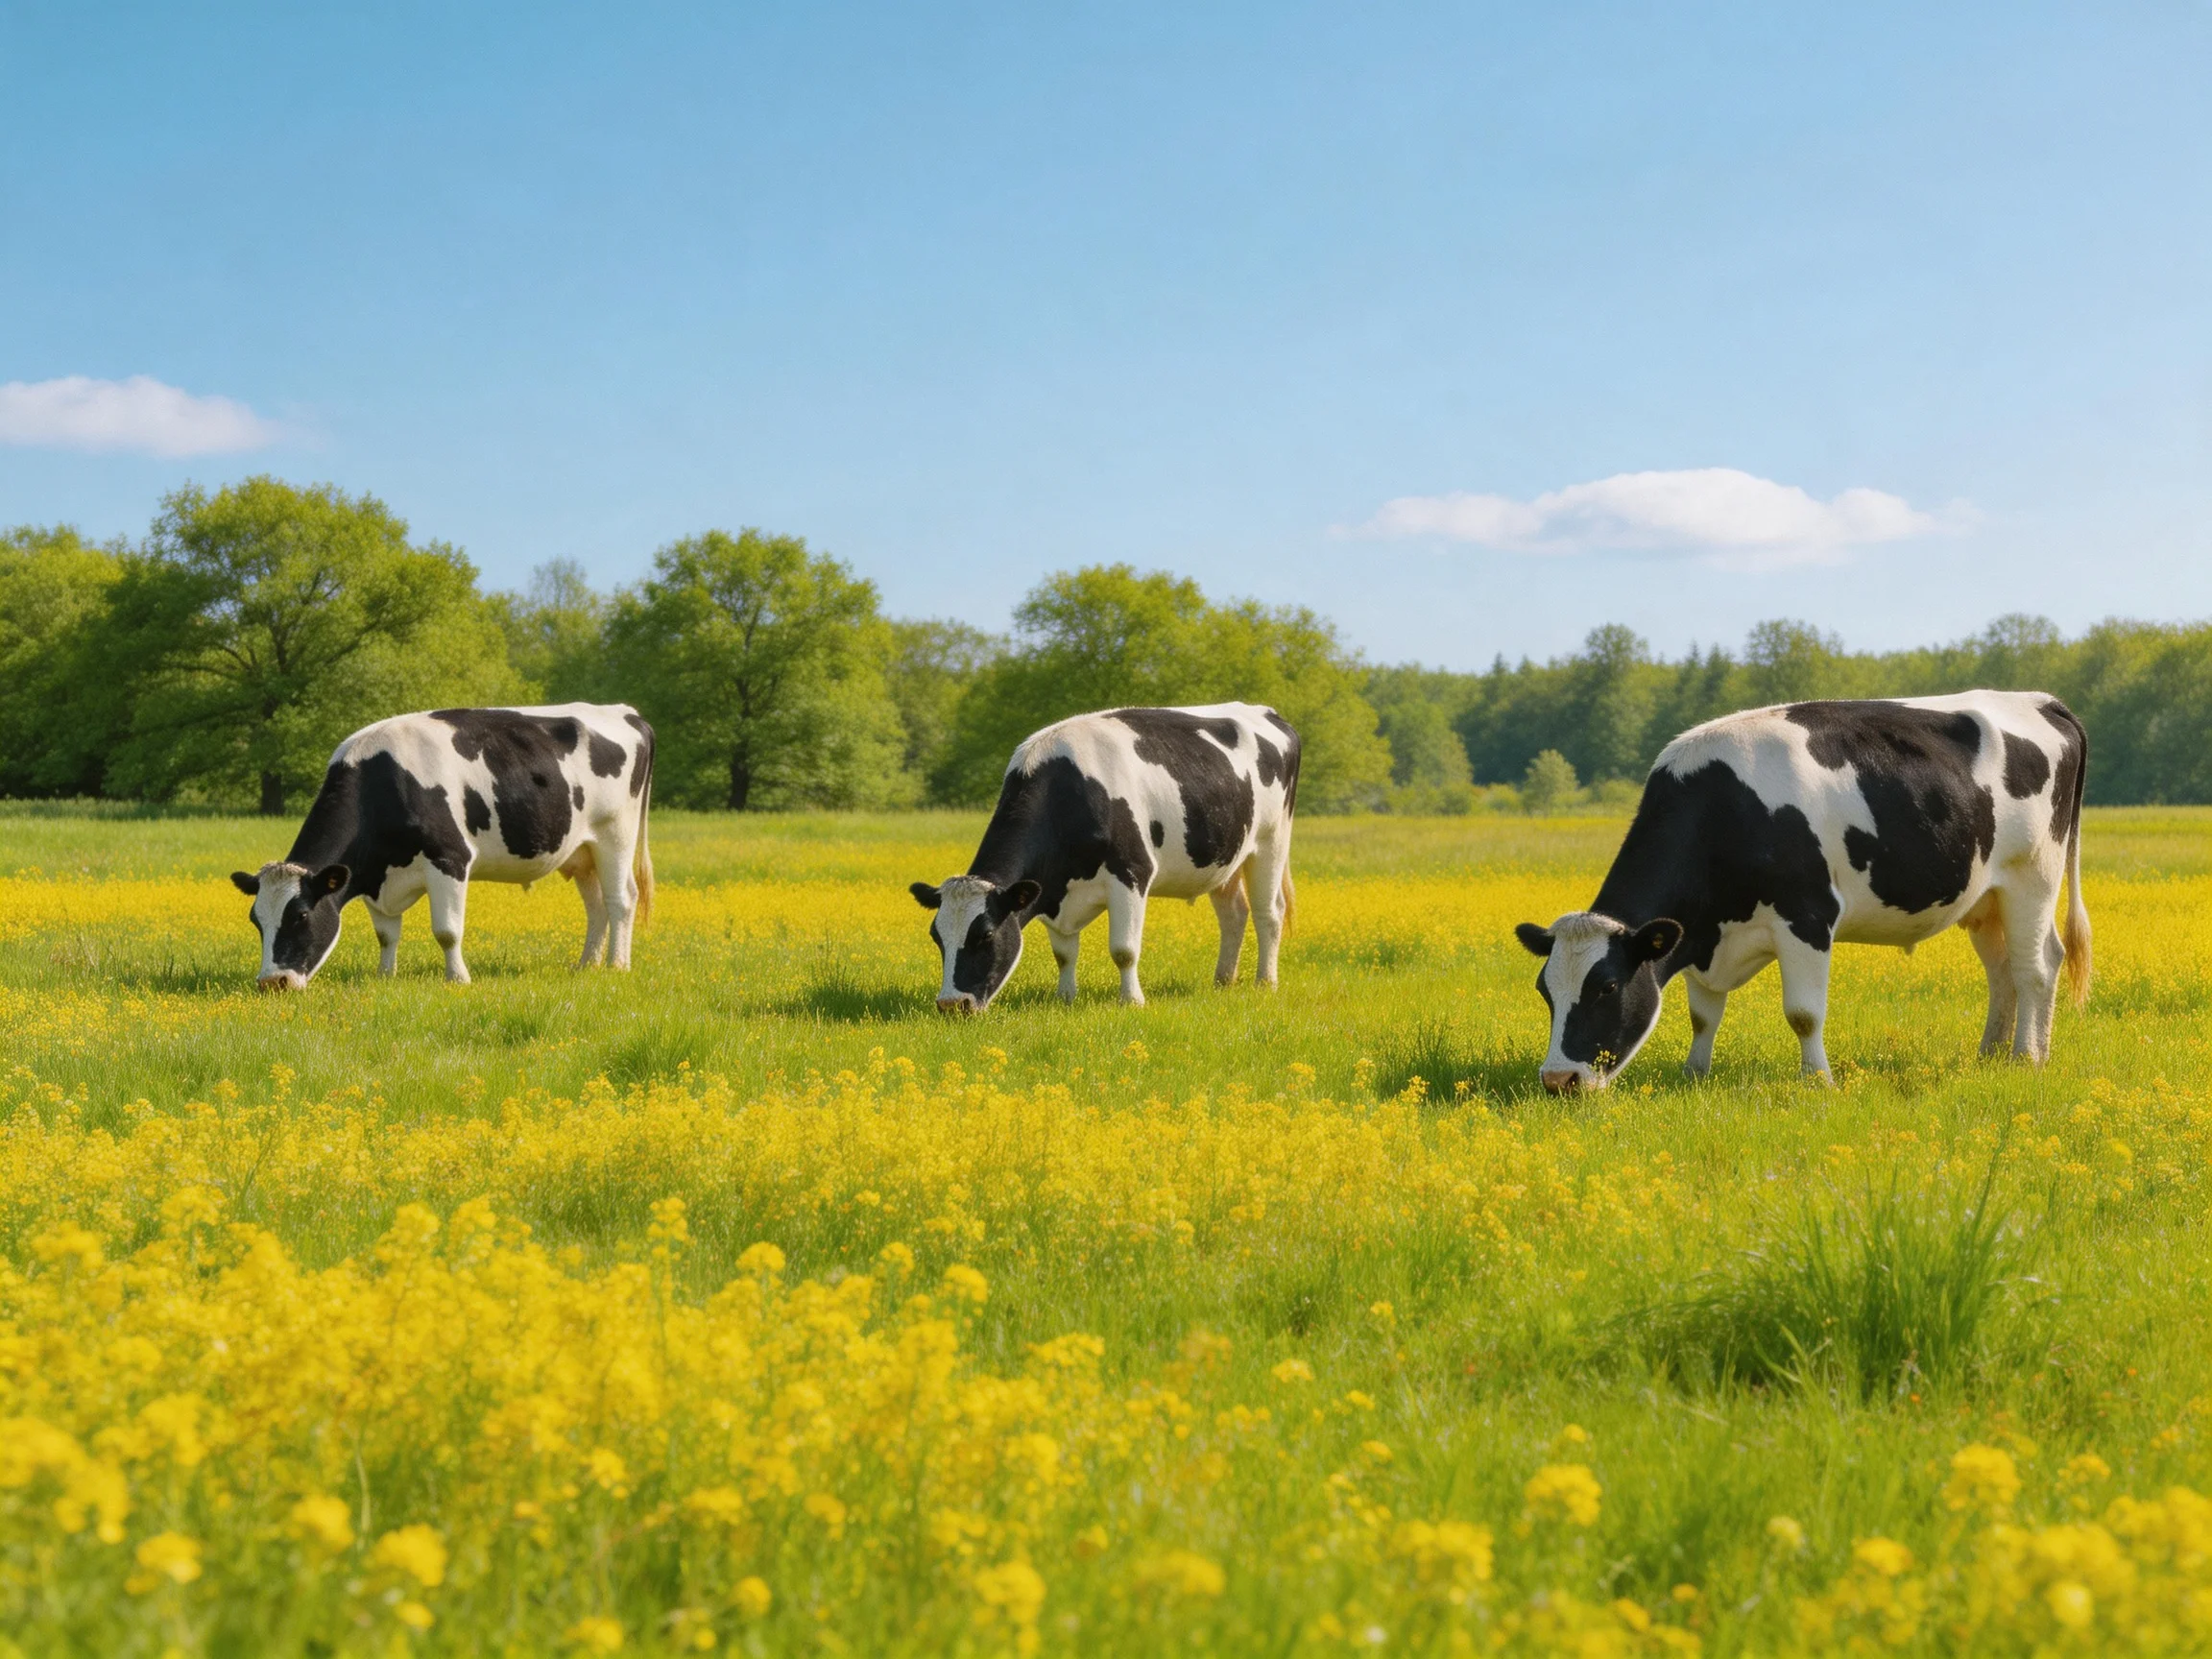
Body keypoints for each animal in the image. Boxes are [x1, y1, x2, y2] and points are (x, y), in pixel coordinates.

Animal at [229, 703, 654, 990]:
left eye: (300, 915)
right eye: (255, 920)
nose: (271, 983)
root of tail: (627, 713)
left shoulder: (449, 858)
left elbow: (447, 931)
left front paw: (458, 979)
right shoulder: (373, 877)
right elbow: (386, 934)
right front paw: (385, 976)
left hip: (615, 834)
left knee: (621, 900)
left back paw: (617, 965)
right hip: (582, 851)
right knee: (595, 905)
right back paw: (586, 965)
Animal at [909, 703, 1299, 1013]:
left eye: (986, 935)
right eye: (936, 936)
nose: (951, 1004)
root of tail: (1266, 712)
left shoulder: (1131, 873)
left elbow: (1124, 950)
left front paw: (1132, 1001)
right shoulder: (1052, 892)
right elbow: (1064, 954)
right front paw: (1065, 998)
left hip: (1272, 841)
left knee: (1268, 913)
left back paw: (1265, 982)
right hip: (1225, 859)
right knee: (1234, 913)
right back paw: (1222, 980)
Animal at [1514, 691, 2089, 1091]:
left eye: (1607, 987)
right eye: (1544, 990)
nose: (1558, 1081)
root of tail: (2038, 700)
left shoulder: (1807, 916)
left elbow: (1803, 1013)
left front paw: (1818, 1081)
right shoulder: (1700, 934)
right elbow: (1704, 1014)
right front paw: (1694, 1074)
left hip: (2032, 877)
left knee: (2035, 967)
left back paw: (2026, 1059)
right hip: (1984, 898)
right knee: (2004, 970)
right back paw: (1992, 1054)